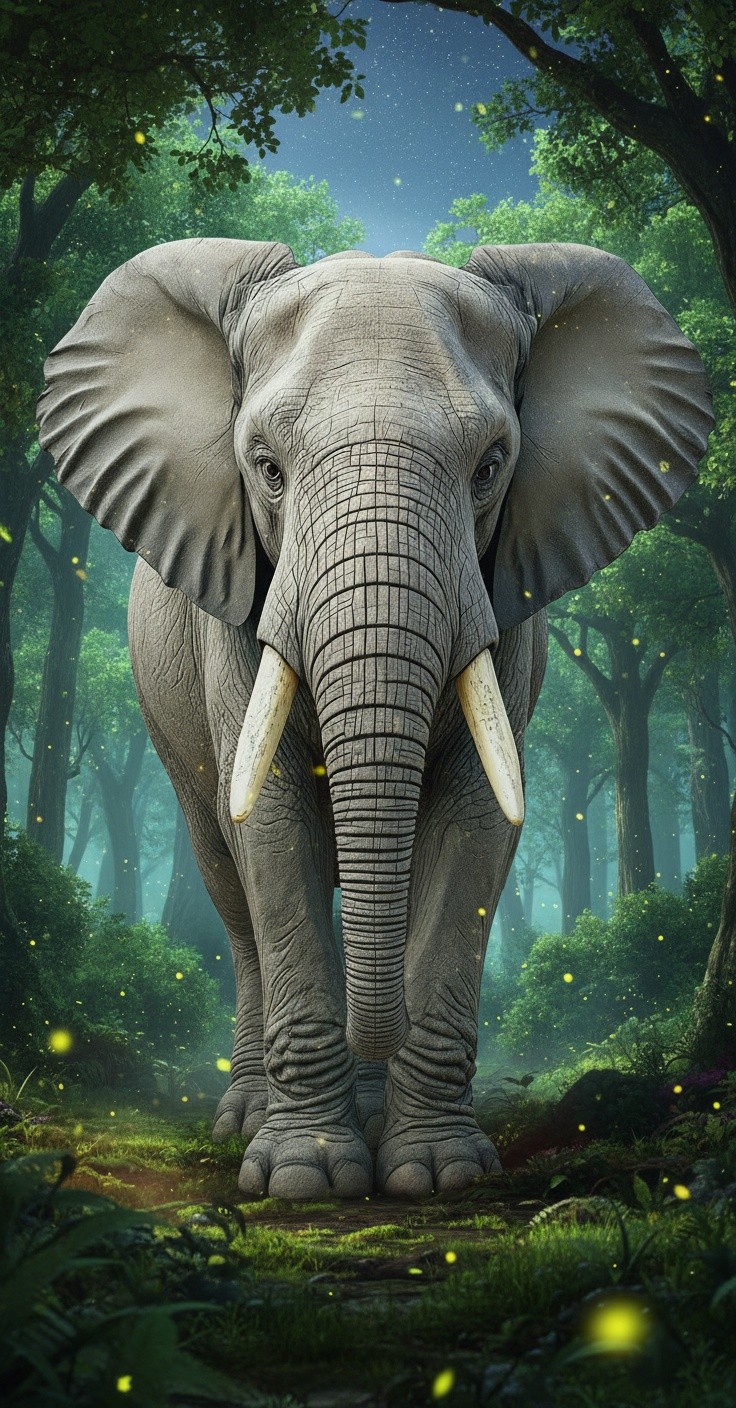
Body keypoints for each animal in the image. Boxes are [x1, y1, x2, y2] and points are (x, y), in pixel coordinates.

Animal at [37, 238, 712, 1199]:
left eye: (490, 468)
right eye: (266, 468)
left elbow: (476, 819)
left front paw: (436, 1173)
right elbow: (271, 824)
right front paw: (304, 1177)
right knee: (226, 874)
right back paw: (248, 1116)